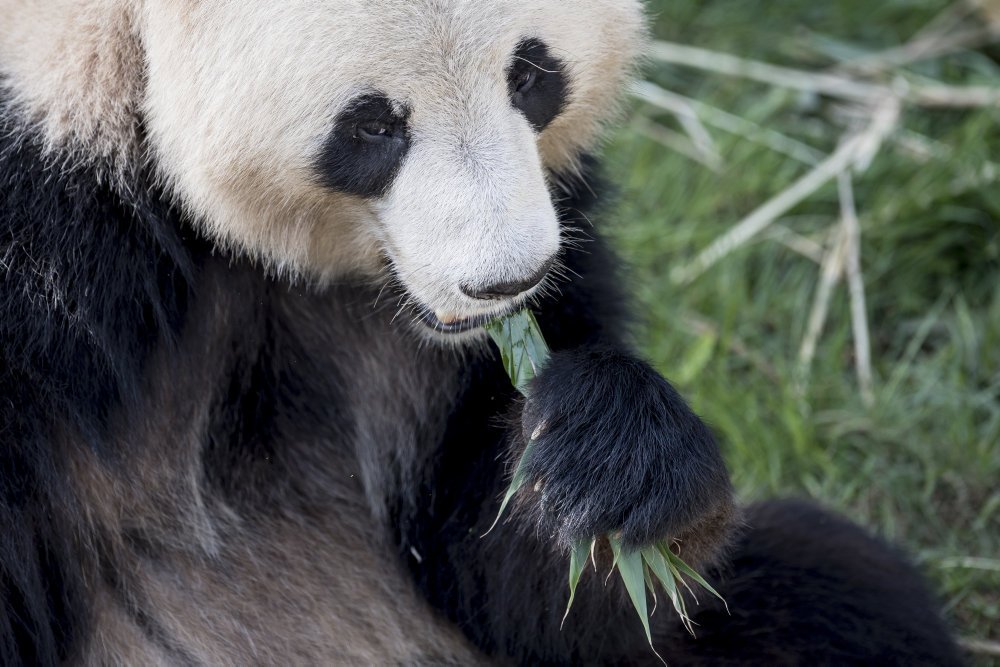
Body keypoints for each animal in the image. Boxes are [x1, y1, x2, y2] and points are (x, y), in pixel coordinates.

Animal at [0, 1, 962, 665]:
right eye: (373, 123)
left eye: (530, 75)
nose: (508, 281)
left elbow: (499, 553)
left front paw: (608, 458)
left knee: (841, 593)